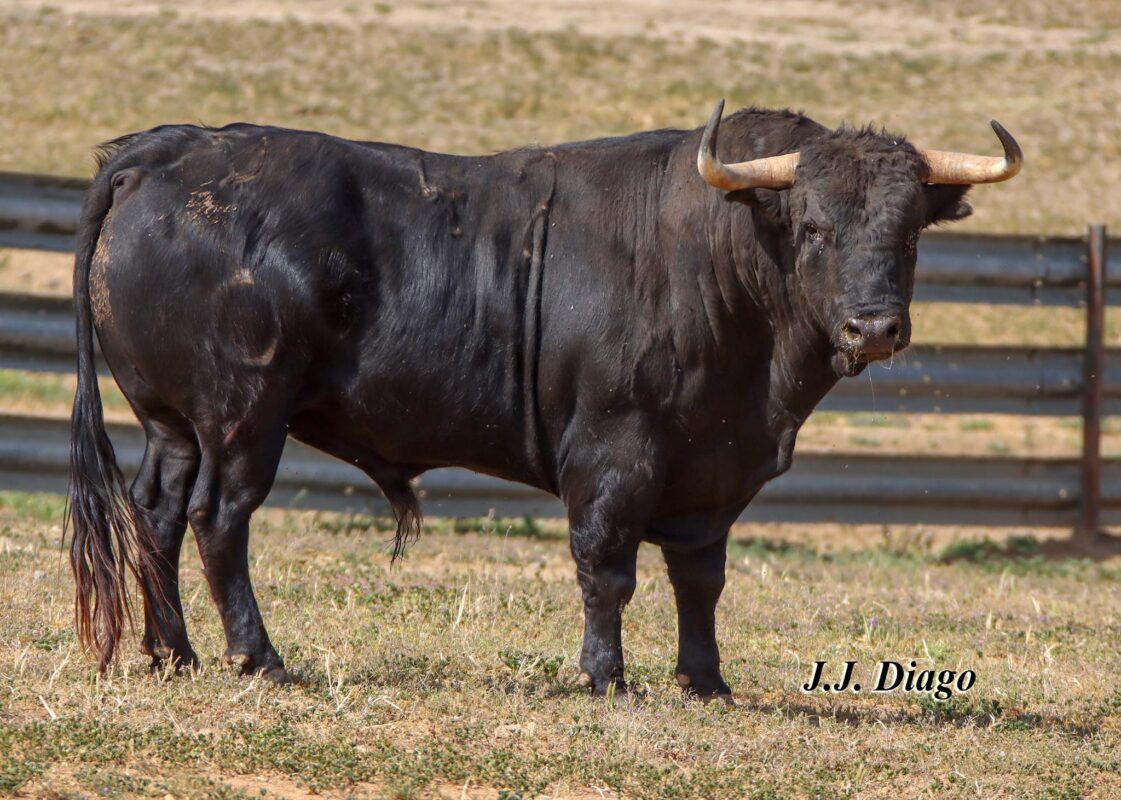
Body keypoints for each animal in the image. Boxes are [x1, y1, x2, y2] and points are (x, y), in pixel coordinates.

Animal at [65, 104, 1022, 690]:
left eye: (908, 233)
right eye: (814, 226)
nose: (873, 328)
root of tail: (168, 151)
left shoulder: (711, 468)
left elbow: (699, 578)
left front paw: (704, 679)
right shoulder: (613, 452)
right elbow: (606, 566)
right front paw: (605, 674)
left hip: (171, 424)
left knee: (155, 513)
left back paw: (171, 651)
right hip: (242, 418)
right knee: (219, 520)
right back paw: (257, 656)